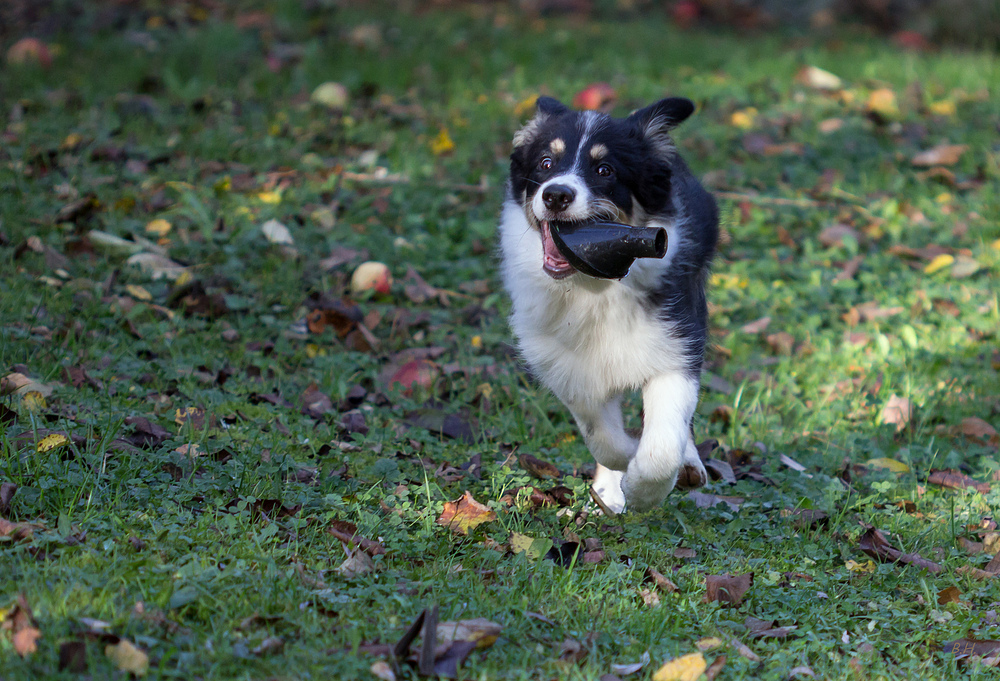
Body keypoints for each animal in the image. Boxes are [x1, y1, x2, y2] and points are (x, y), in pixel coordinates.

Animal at [500, 94, 720, 510]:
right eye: (546, 163)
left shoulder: (676, 343)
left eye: (605, 170)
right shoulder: (565, 362)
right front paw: (619, 475)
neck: (592, 287)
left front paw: (644, 491)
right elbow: (601, 436)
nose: (556, 194)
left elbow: (662, 444)